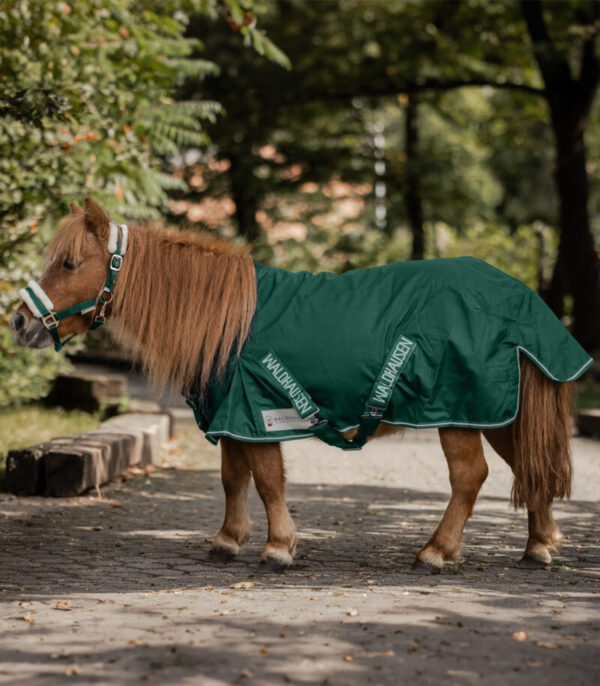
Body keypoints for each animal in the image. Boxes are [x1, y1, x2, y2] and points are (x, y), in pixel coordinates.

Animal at [9, 200, 572, 576]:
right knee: (530, 466)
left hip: (457, 413)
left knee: (470, 477)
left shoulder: (259, 414)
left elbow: (267, 481)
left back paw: (436, 551)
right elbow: (232, 478)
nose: (18, 322)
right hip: (498, 414)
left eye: (69, 263)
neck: (228, 322)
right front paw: (228, 540)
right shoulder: (233, 417)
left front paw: (278, 547)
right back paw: (539, 545)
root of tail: (519, 297)